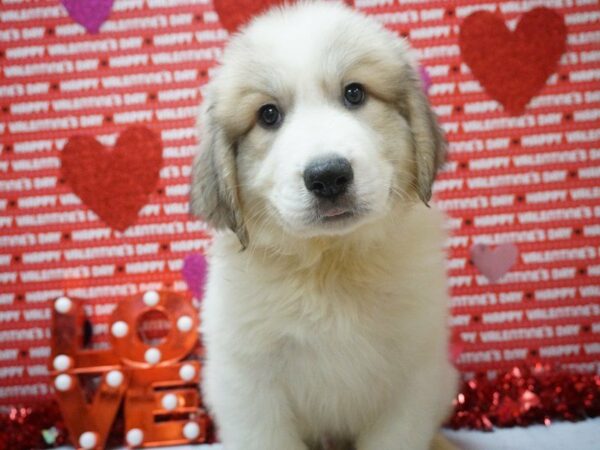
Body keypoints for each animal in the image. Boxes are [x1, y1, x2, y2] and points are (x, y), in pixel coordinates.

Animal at [192, 1, 460, 448]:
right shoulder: (251, 390)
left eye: (355, 93)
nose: (328, 176)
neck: (330, 264)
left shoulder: (410, 380)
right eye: (268, 115)